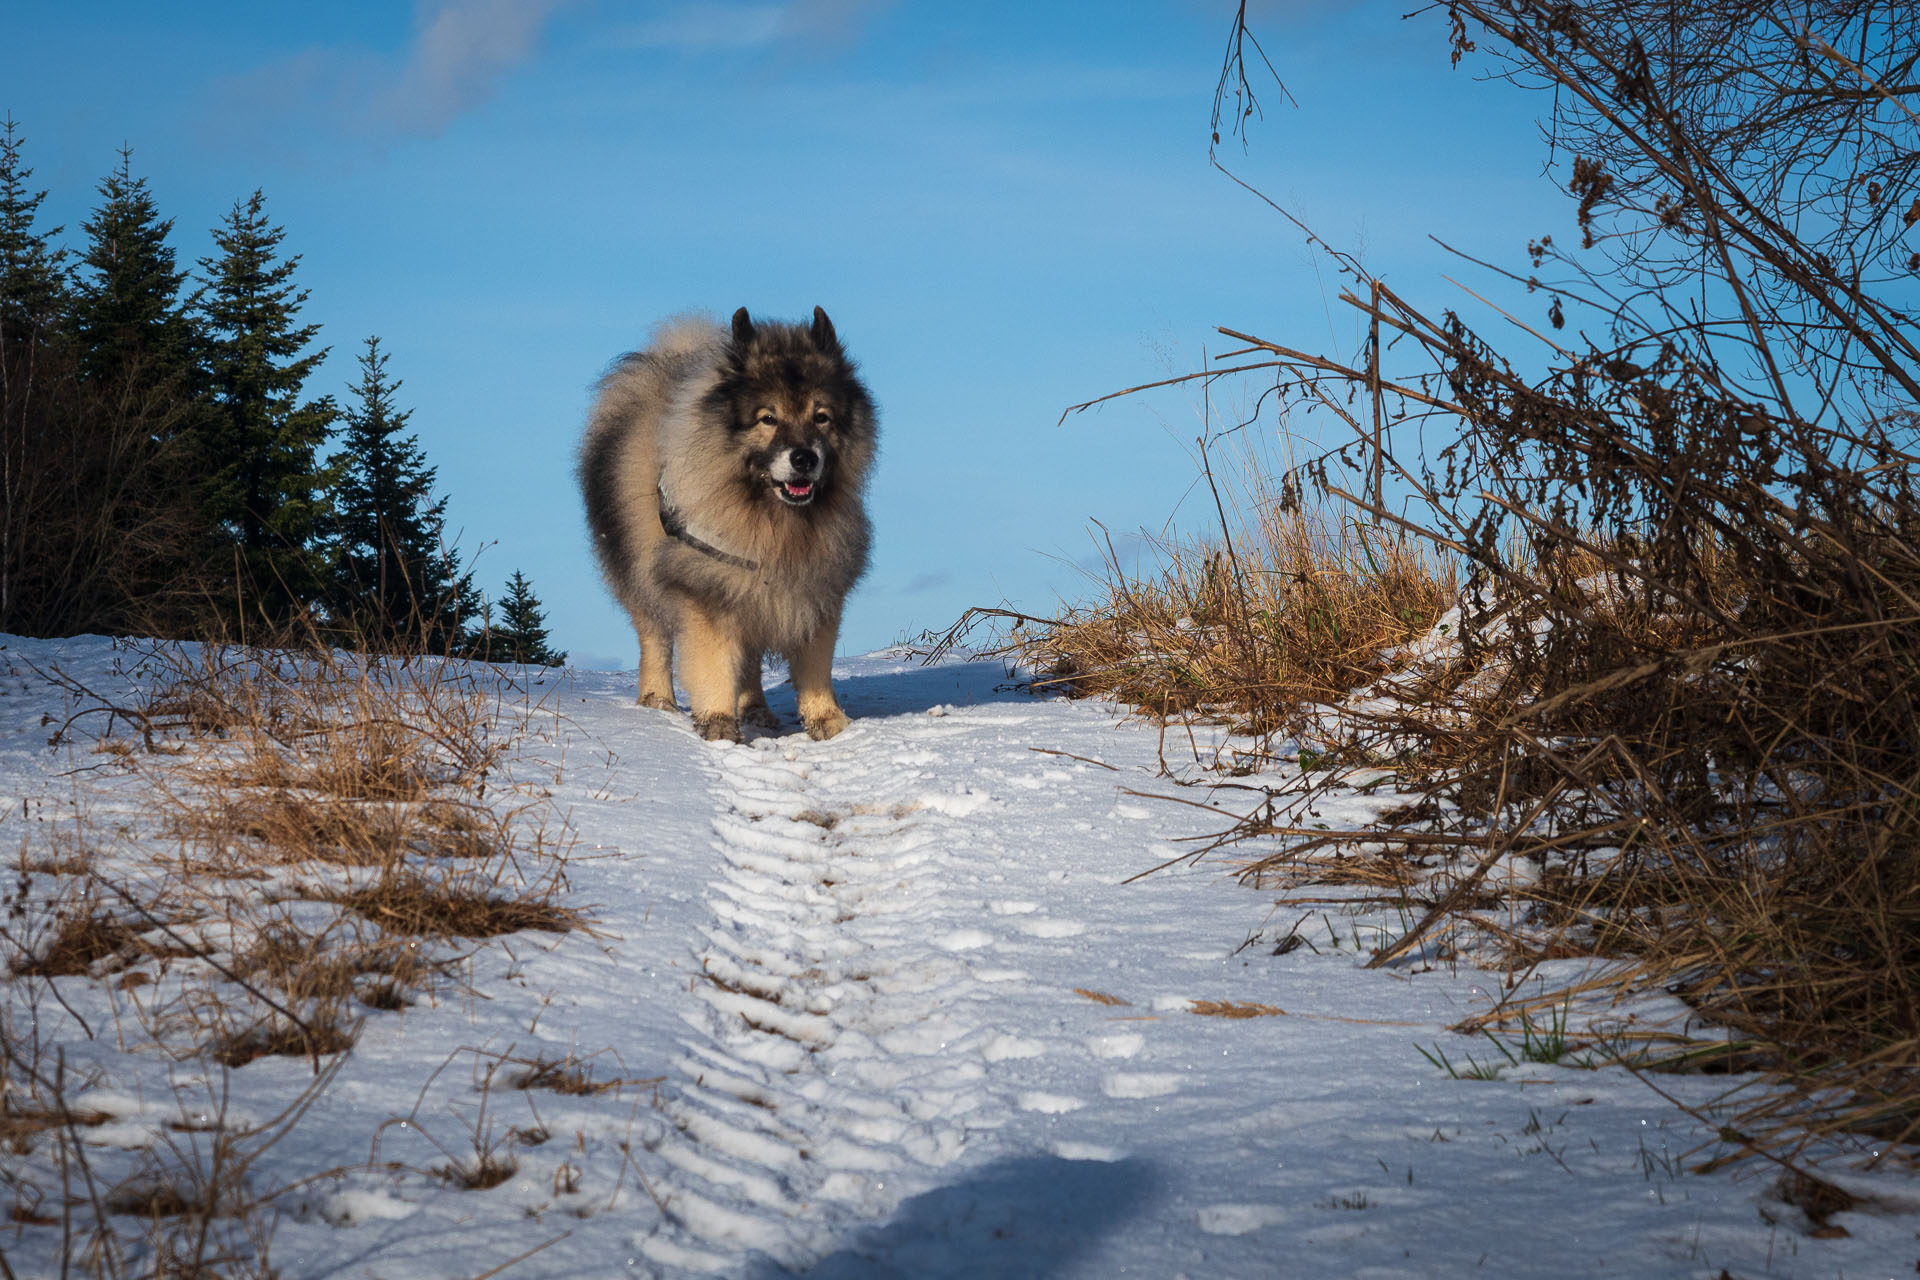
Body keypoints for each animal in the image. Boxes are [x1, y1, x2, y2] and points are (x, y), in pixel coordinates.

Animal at [576, 307, 879, 740]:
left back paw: (755, 710)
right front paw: (718, 724)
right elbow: (714, 664)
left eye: (821, 417)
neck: (772, 516)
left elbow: (814, 667)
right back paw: (658, 700)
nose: (804, 458)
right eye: (768, 418)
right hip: (640, 570)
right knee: (654, 638)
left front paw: (830, 722)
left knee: (749, 659)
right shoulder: (707, 590)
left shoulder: (813, 589)